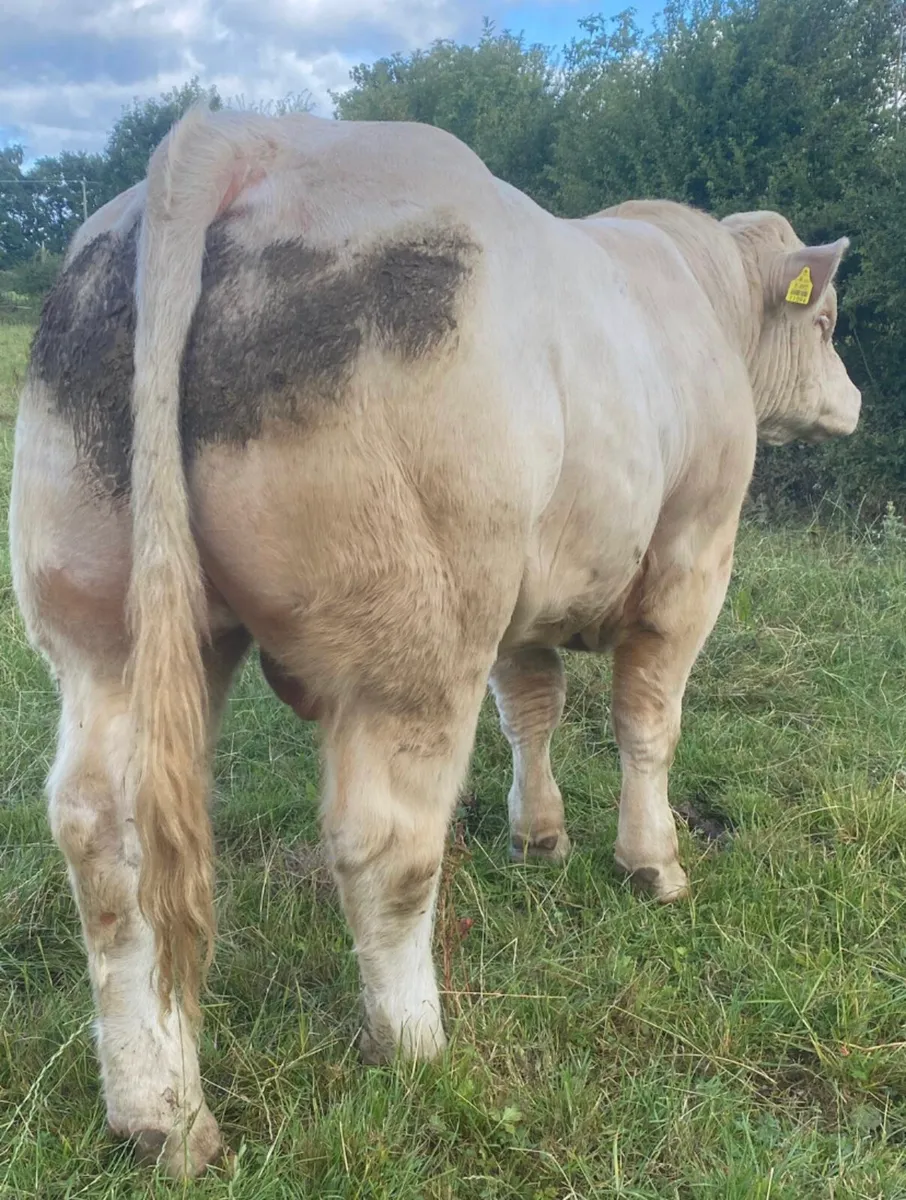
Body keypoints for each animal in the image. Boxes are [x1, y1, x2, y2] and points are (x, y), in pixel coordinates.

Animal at [8, 105, 861, 1176]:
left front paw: (539, 838)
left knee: (103, 833)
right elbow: (647, 724)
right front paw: (652, 865)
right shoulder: (692, 557)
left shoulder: (527, 596)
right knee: (384, 841)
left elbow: (532, 707)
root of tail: (245, 138)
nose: (854, 403)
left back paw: (159, 1114)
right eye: (827, 323)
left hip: (104, 630)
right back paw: (414, 1045)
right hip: (416, 636)